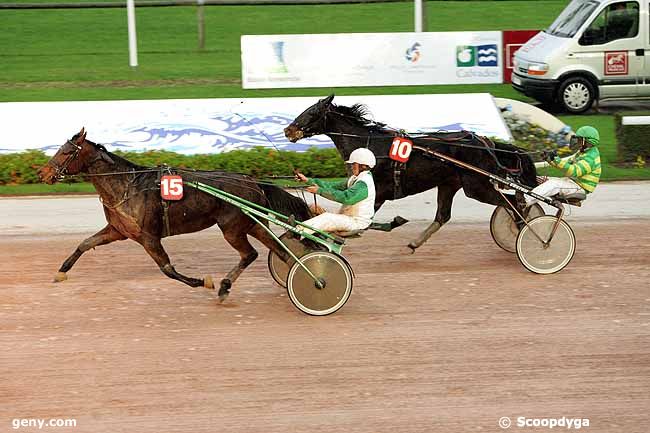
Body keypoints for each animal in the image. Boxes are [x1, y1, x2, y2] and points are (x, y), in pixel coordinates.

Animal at [38, 128, 312, 300]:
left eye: (66, 152)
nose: (43, 173)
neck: (127, 184)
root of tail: (252, 180)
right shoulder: (118, 230)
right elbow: (85, 244)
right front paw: (61, 272)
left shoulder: (149, 237)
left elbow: (168, 269)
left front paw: (203, 282)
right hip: (251, 223)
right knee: (277, 251)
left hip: (232, 227)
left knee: (251, 253)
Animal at [284, 93, 536, 250]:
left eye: (312, 112)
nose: (288, 130)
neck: (370, 146)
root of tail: (486, 142)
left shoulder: (378, 193)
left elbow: (360, 221)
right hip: (449, 183)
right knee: (443, 216)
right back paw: (415, 242)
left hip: (476, 185)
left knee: (513, 201)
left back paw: (524, 227)